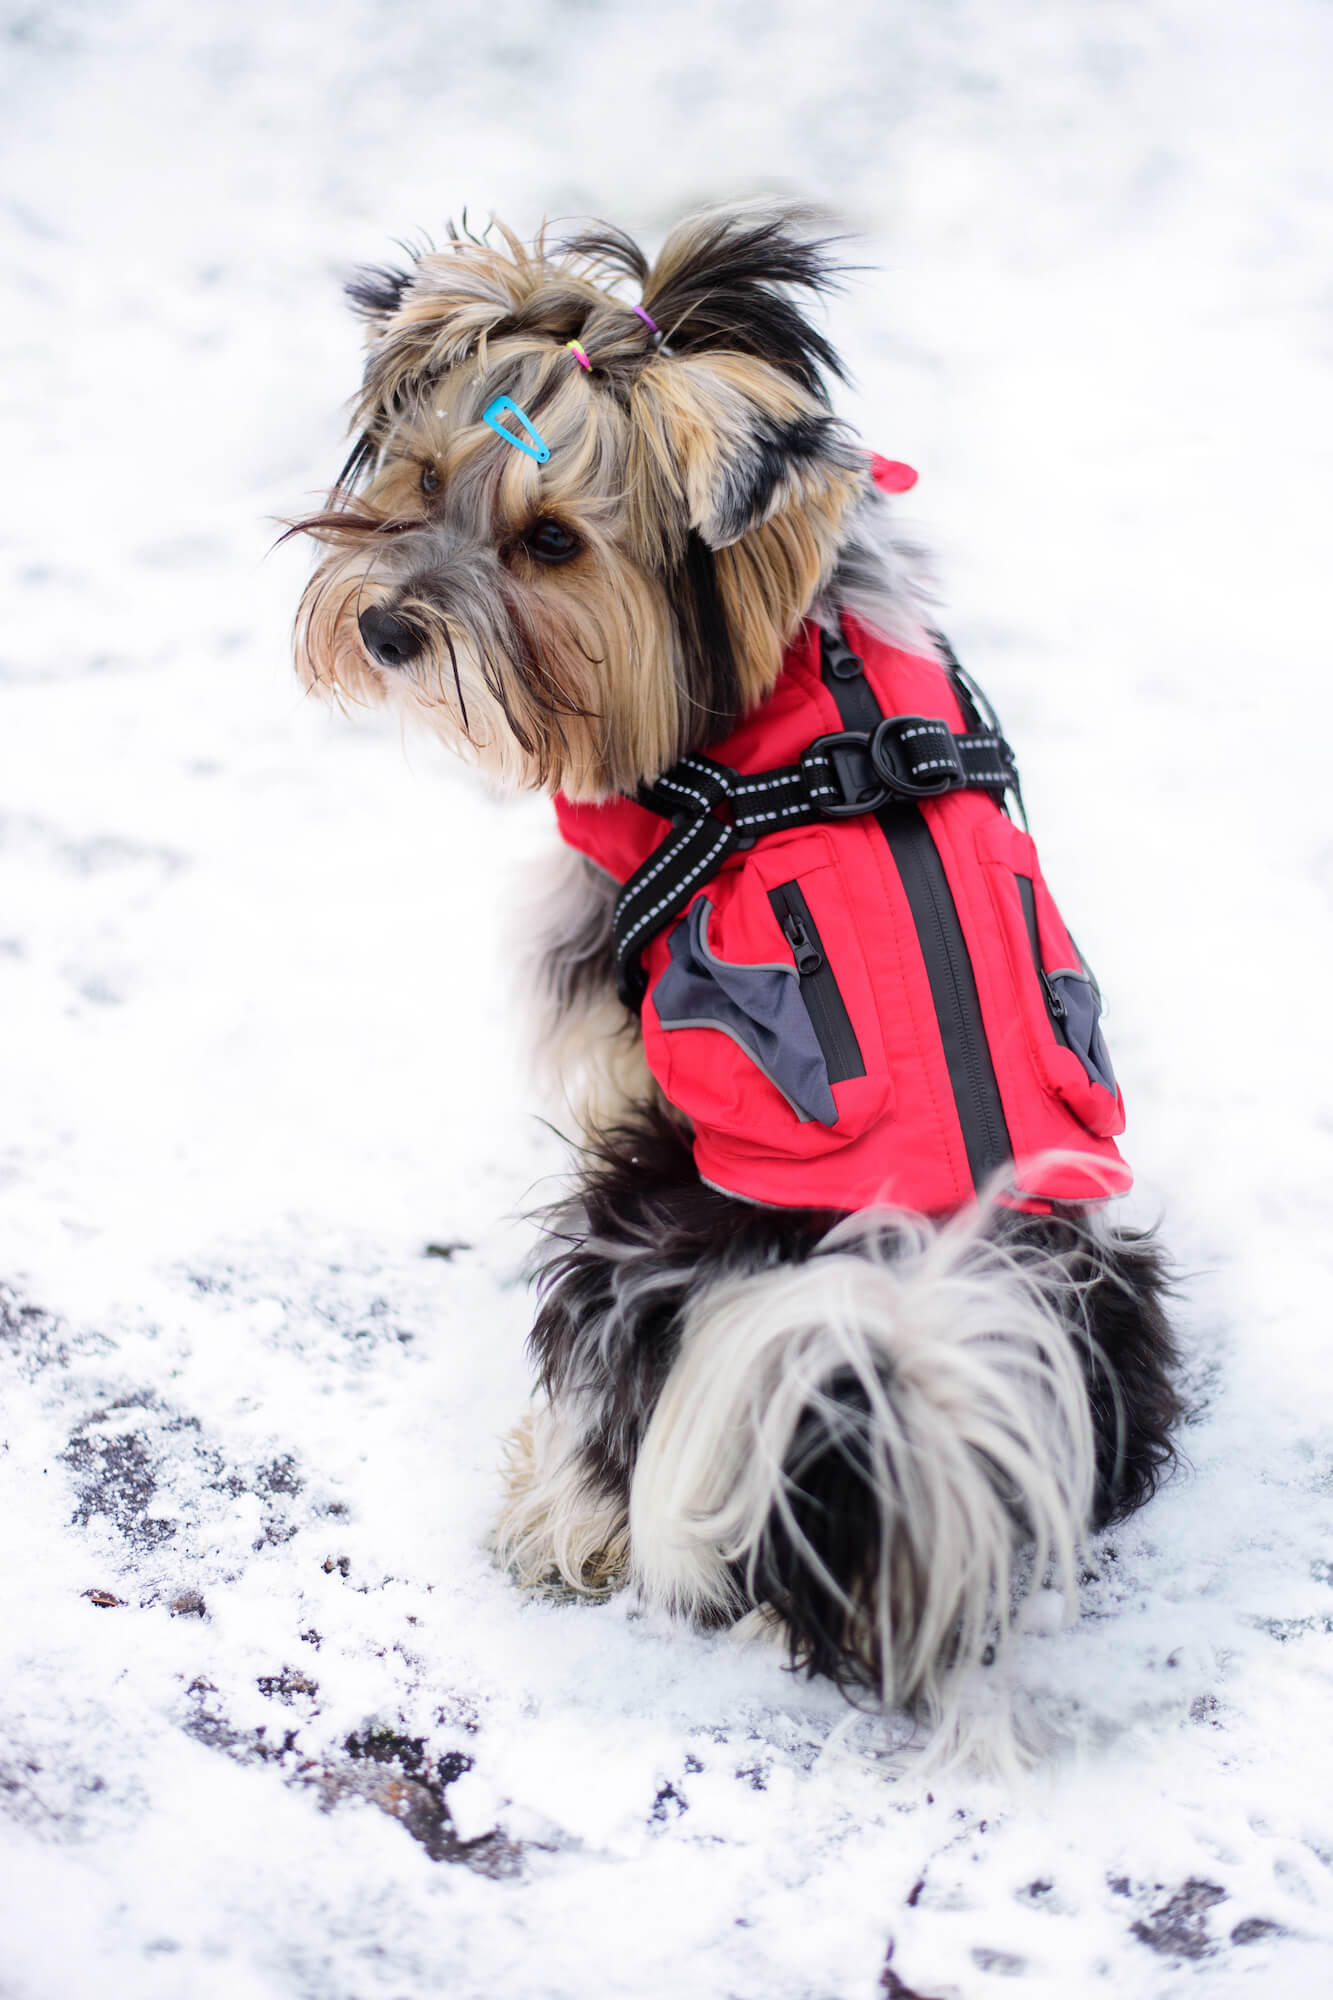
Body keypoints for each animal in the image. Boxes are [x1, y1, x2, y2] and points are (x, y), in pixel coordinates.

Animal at [288, 199, 1176, 1736]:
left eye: (551, 542)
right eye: (421, 475)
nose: (391, 629)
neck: (780, 679)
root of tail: (902, 1297)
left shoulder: (610, 1001)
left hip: (639, 1220)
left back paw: (552, 1517)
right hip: (1116, 1288)